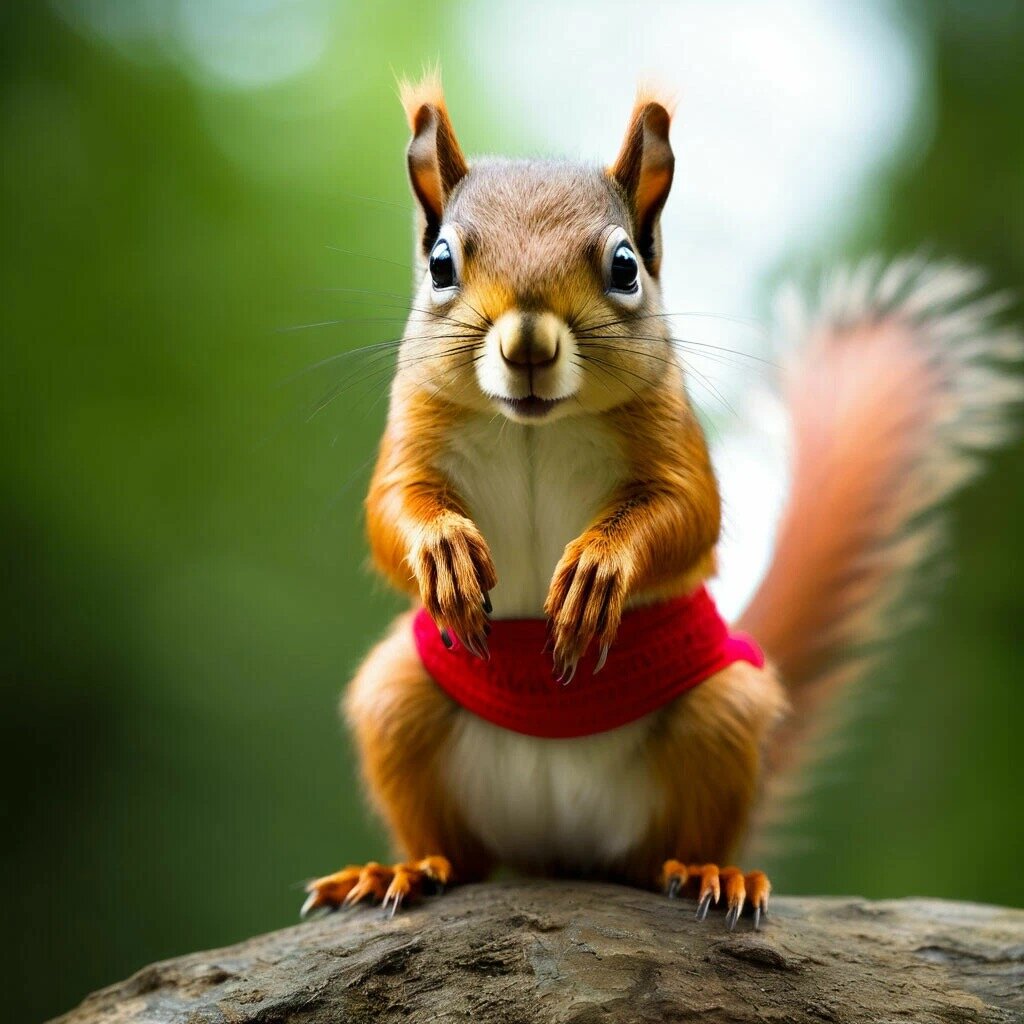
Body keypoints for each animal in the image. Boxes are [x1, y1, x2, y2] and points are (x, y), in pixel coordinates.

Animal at [299, 75, 1019, 933]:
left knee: (662, 853)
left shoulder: (673, 439)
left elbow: (686, 514)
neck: (534, 428)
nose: (528, 344)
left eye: (625, 265)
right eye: (440, 262)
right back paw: (403, 869)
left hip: (721, 715)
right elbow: (391, 511)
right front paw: (441, 551)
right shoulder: (412, 433)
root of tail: (555, 852)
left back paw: (711, 872)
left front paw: (598, 571)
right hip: (398, 700)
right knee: (460, 854)